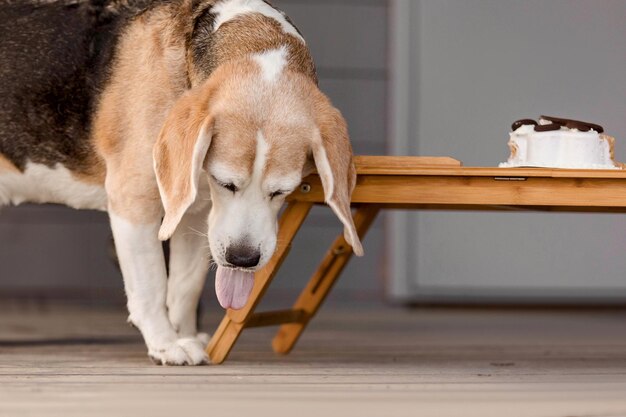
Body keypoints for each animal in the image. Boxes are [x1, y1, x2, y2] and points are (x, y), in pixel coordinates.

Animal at [0, 0, 360, 364]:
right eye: (225, 183)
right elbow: (152, 284)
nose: (242, 259)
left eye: (281, 191)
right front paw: (165, 343)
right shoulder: (134, 203)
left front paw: (184, 336)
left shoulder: (198, 214)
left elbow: (185, 286)